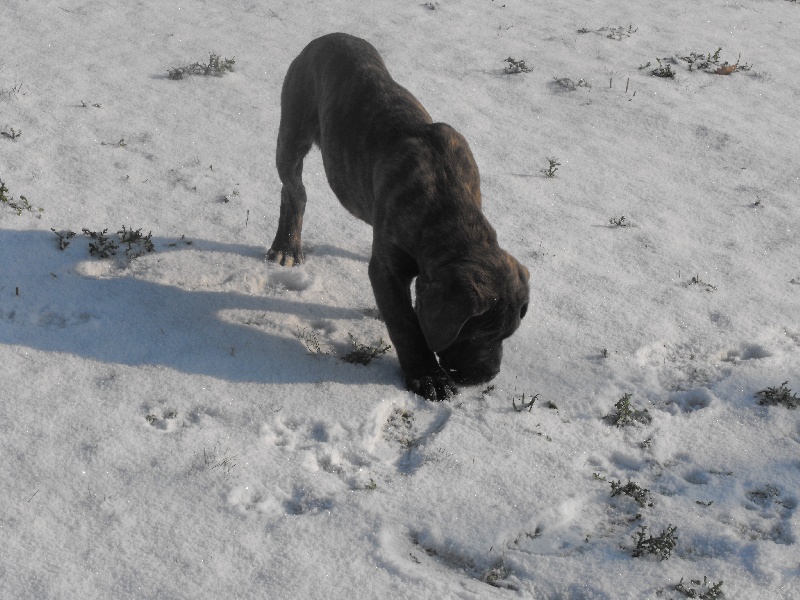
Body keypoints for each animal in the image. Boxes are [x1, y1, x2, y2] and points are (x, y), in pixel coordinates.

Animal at [268, 31, 532, 398]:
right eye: (475, 333)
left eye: (507, 335)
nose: (487, 376)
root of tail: (330, 37)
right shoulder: (387, 269)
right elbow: (405, 323)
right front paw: (427, 376)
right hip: (293, 131)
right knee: (294, 191)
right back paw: (286, 247)